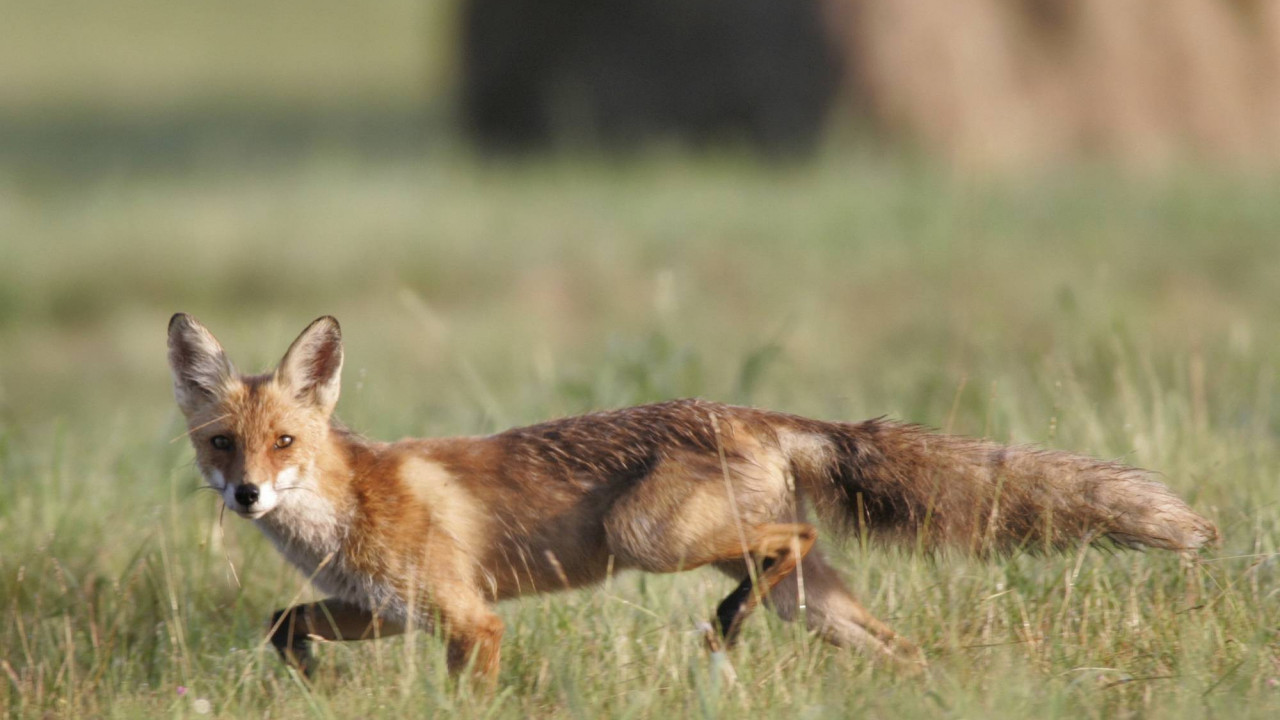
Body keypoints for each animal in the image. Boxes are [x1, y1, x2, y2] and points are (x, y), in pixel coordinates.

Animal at [165, 312, 1213, 676]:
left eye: (286, 442)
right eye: (223, 444)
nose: (248, 494)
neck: (341, 507)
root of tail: (754, 412)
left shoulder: (470, 619)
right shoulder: (385, 611)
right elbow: (282, 626)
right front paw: (312, 682)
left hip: (649, 535)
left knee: (784, 540)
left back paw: (723, 625)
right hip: (813, 607)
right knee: (897, 644)